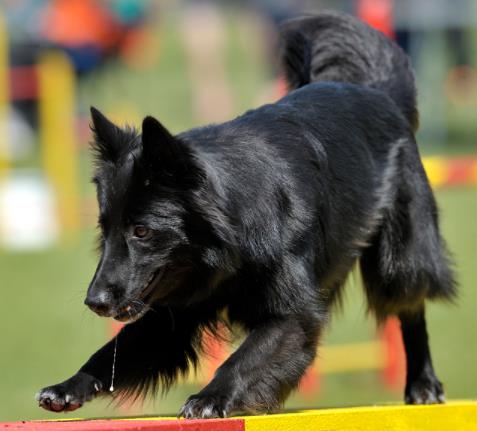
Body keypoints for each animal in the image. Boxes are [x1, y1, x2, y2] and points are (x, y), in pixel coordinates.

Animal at [37, 12, 454, 418]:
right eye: (104, 230)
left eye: (141, 231)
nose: (94, 302)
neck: (226, 238)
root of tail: (378, 92)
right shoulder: (174, 311)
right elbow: (116, 349)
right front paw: (69, 386)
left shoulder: (293, 314)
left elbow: (245, 358)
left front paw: (211, 397)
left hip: (398, 259)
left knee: (411, 307)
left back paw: (423, 384)